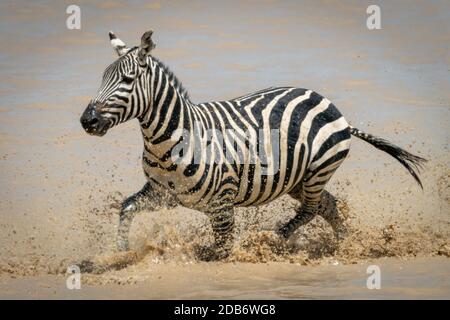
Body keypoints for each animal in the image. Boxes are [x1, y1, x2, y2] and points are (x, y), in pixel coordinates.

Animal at [79, 29, 428, 260]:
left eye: (127, 80)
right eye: (102, 77)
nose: (87, 121)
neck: (171, 140)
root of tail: (333, 107)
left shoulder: (222, 204)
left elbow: (221, 251)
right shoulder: (163, 194)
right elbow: (126, 207)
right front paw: (121, 254)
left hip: (317, 170)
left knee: (312, 208)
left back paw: (273, 239)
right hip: (296, 179)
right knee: (328, 205)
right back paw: (344, 244)